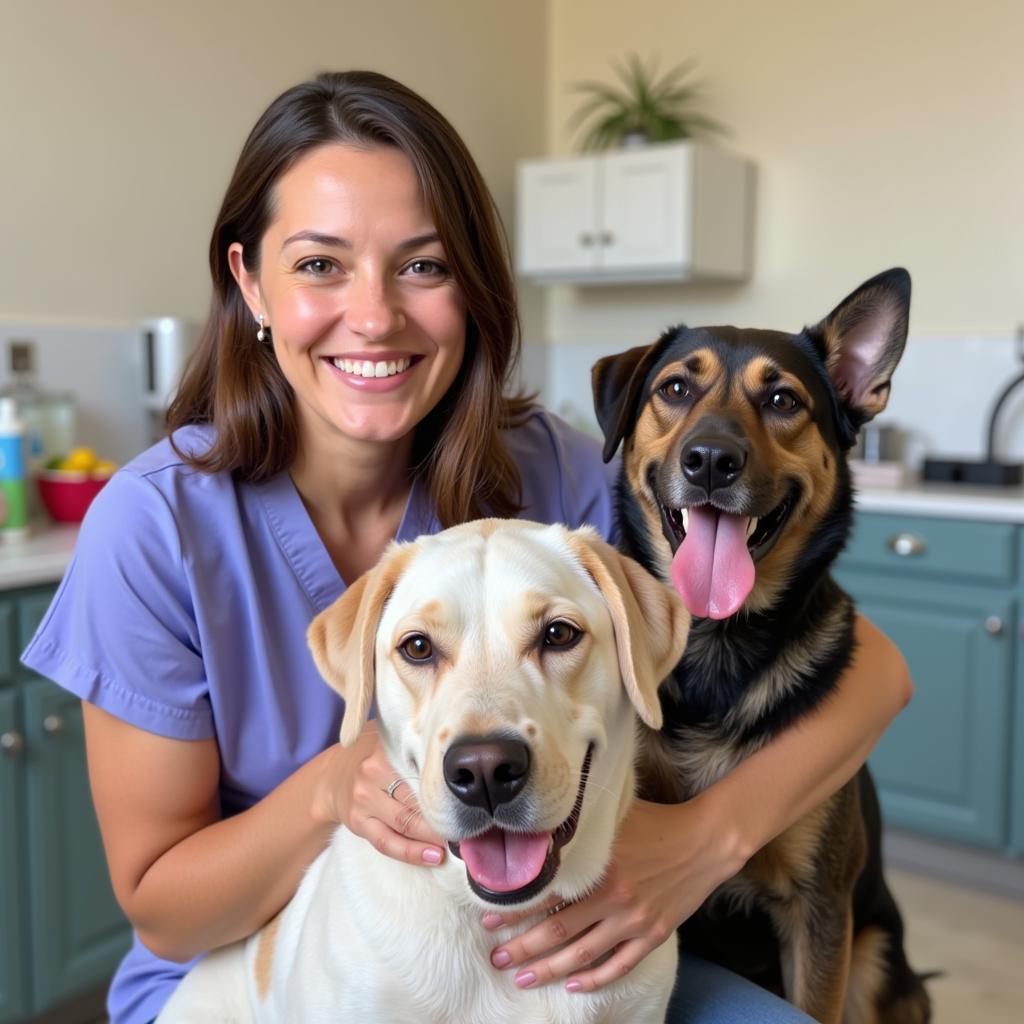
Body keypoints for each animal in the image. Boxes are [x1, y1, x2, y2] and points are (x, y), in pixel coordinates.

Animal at [589, 270, 933, 1024]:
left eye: (782, 401)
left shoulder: (820, 911)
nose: (711, 461)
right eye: (675, 389)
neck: (717, 644)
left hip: (874, 959)